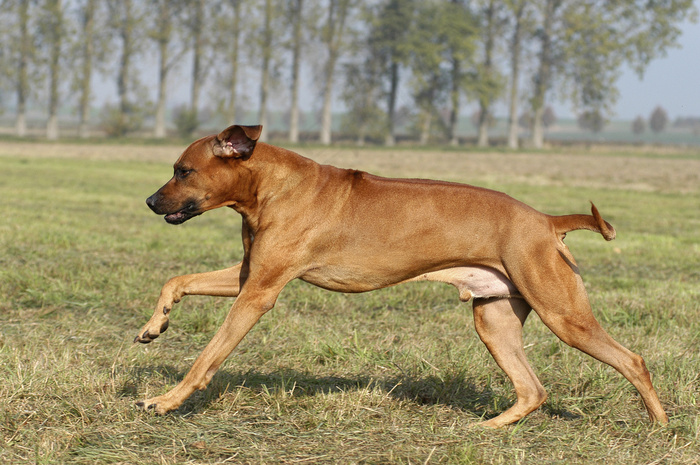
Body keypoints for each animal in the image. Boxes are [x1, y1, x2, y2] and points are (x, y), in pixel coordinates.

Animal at [135, 124, 668, 428]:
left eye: (182, 171)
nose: (149, 201)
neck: (269, 185)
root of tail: (546, 221)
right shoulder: (249, 275)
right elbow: (178, 280)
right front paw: (155, 324)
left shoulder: (260, 292)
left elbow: (207, 356)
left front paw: (166, 400)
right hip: (494, 319)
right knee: (533, 389)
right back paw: (486, 427)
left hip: (562, 311)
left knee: (632, 360)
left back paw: (660, 426)